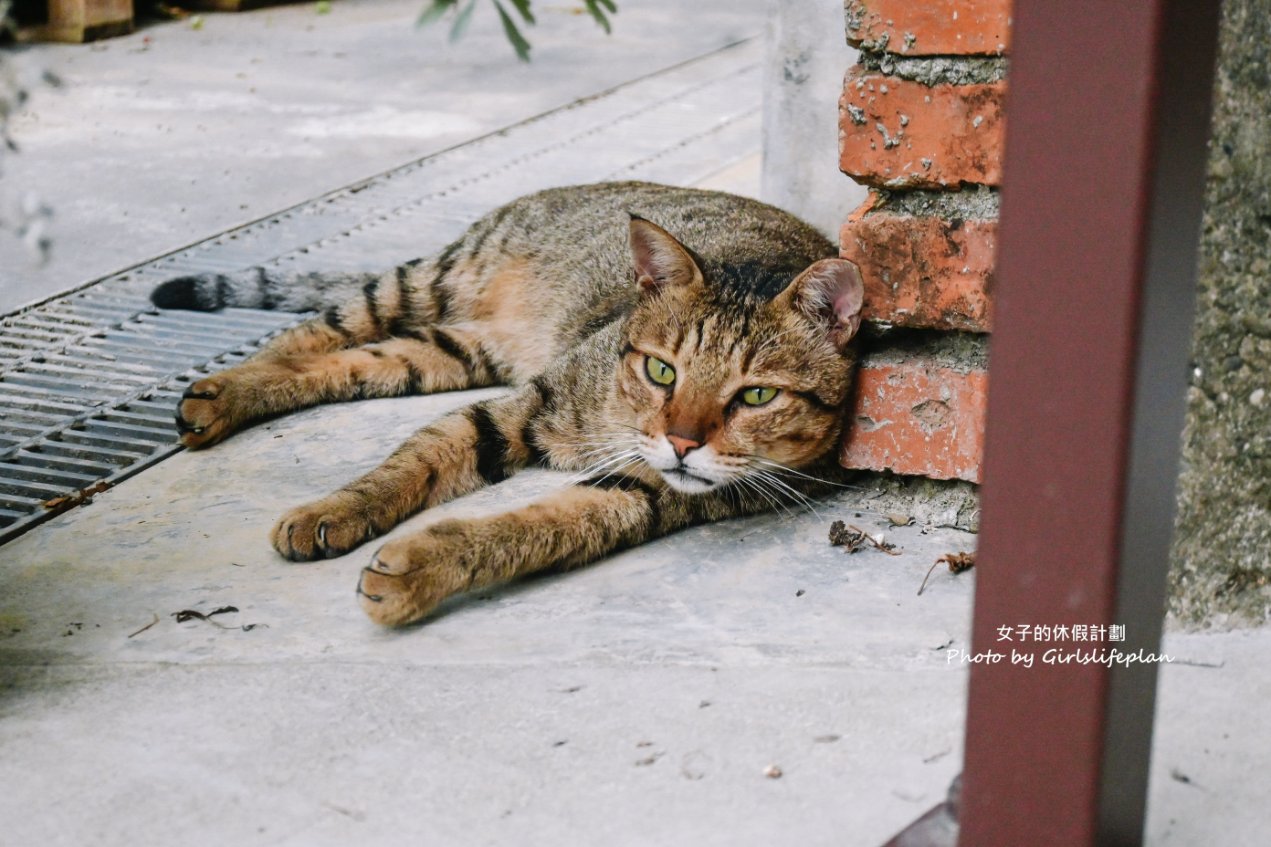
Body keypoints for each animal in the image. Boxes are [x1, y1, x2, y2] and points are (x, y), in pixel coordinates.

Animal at [148, 181, 864, 623]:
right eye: (662, 370)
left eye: (757, 395)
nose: (683, 442)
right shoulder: (525, 405)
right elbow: (410, 462)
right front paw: (336, 509)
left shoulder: (642, 492)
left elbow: (542, 524)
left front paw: (422, 568)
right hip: (421, 286)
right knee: (311, 333)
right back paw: (224, 389)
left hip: (448, 352)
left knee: (349, 363)